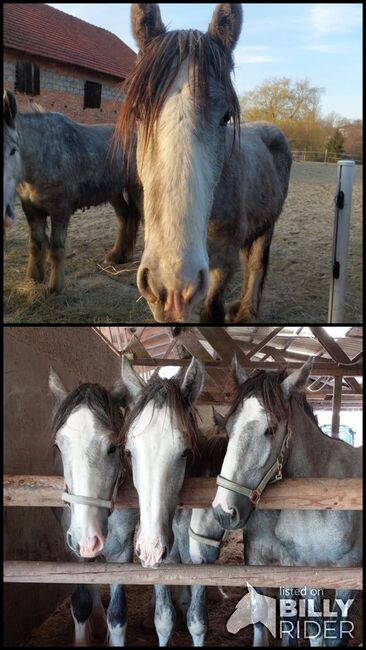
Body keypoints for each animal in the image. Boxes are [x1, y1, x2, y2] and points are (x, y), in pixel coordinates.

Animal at [3, 90, 141, 292]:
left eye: (13, 150)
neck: (44, 154)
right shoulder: (31, 208)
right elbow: (36, 245)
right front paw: (34, 279)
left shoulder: (60, 209)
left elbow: (56, 248)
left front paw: (55, 288)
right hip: (113, 191)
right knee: (124, 215)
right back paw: (116, 256)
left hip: (137, 188)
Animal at [115, 2, 292, 322]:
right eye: (137, 113)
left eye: (226, 117)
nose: (173, 284)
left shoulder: (224, 265)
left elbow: (211, 312)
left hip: (269, 225)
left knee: (257, 264)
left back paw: (246, 312)